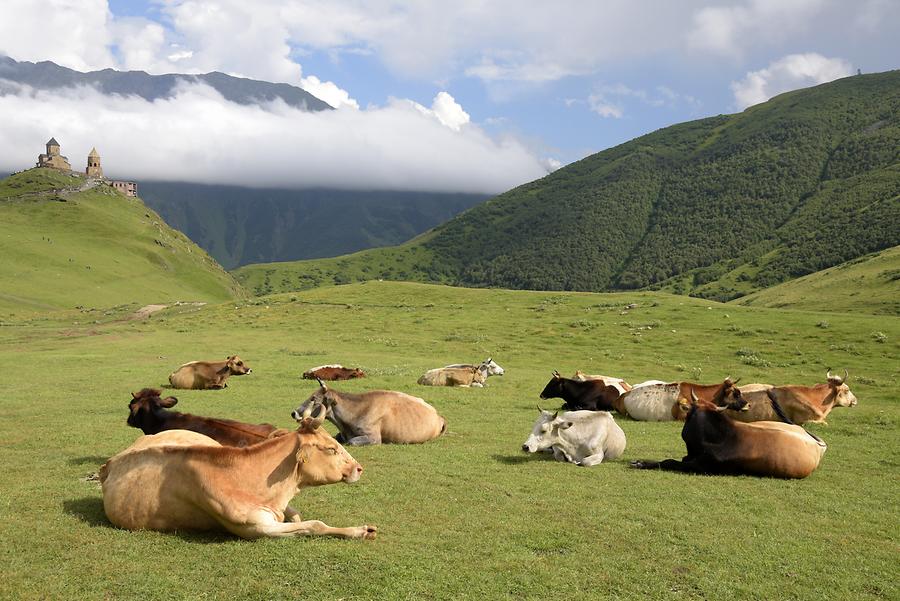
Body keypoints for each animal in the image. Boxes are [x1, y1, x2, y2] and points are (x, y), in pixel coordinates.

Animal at [99, 404, 376, 540]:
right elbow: (313, 525)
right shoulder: (256, 529)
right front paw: (359, 531)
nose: (359, 468)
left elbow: (296, 516)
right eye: (331, 448)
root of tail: (109, 463)